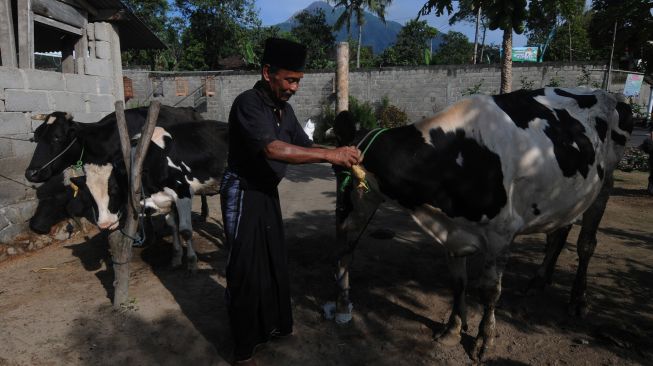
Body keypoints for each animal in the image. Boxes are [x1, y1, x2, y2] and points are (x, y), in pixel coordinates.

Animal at [332, 88, 632, 360]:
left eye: (340, 172)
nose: (341, 224)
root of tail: (610, 94)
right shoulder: (452, 229)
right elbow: (458, 282)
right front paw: (452, 330)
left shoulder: (501, 233)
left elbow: (489, 291)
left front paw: (483, 340)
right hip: (565, 196)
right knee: (558, 233)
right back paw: (538, 281)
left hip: (604, 183)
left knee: (586, 244)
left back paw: (578, 299)